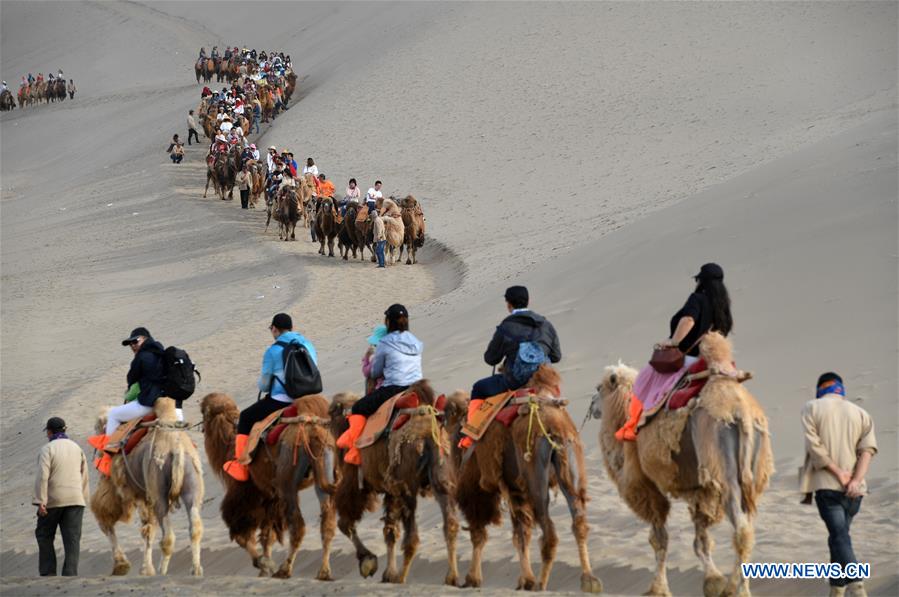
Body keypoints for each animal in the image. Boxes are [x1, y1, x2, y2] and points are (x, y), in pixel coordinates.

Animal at [89, 398, 204, 576]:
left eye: (97, 427)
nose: (97, 453)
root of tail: (176, 449)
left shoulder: (118, 490)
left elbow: (105, 517)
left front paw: (122, 565)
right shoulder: (143, 496)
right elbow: (148, 529)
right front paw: (145, 569)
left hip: (158, 490)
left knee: (168, 536)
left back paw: (162, 571)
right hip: (192, 485)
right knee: (195, 527)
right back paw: (196, 570)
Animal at [202, 392, 340, 576]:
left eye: (204, 410)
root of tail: (313, 435)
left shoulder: (245, 492)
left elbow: (241, 531)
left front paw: (262, 563)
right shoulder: (270, 497)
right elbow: (268, 534)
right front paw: (265, 568)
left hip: (288, 481)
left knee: (298, 526)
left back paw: (285, 570)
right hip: (324, 470)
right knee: (327, 522)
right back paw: (324, 572)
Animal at [326, 384, 460, 584]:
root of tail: (427, 435)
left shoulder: (354, 481)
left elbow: (345, 522)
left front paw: (369, 561)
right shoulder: (391, 490)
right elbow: (390, 531)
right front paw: (387, 573)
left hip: (407, 485)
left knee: (412, 537)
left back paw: (402, 577)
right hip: (441, 478)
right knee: (450, 523)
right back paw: (451, 577)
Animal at [450, 364, 604, 592]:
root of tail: (555, 428)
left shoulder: (479, 487)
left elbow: (485, 532)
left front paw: (473, 578)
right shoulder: (514, 488)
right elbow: (521, 533)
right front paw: (524, 580)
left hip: (535, 480)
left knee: (549, 532)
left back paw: (541, 583)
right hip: (570, 465)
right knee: (579, 521)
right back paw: (589, 580)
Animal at [592, 330, 772, 596]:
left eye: (599, 387)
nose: (593, 405)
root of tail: (742, 414)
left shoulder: (647, 485)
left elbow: (660, 540)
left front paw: (658, 589)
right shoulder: (699, 489)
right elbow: (701, 541)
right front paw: (712, 581)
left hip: (723, 469)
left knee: (740, 527)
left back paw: (734, 590)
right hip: (753, 471)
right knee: (748, 526)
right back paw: (739, 588)